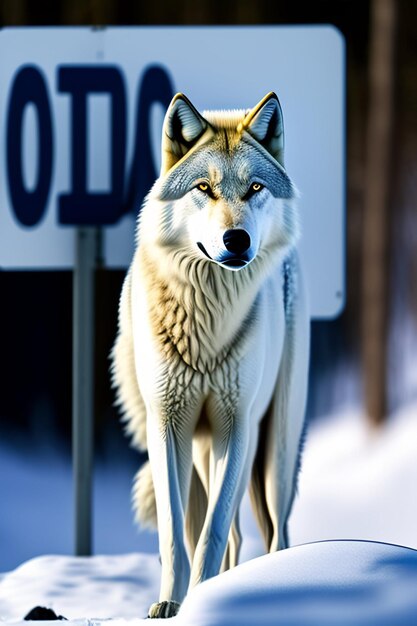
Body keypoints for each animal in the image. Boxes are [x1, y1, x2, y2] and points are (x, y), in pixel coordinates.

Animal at [110, 90, 308, 616]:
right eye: (205, 188)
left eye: (255, 188)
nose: (236, 239)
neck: (207, 323)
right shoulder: (167, 425)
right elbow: (176, 534)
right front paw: (171, 604)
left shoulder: (234, 425)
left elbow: (212, 532)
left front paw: (202, 600)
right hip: (202, 450)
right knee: (233, 534)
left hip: (272, 452)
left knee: (275, 533)